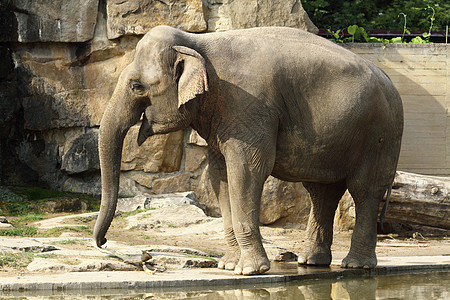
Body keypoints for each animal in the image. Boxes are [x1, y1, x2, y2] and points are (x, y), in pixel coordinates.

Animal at [93, 24, 402, 276]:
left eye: (136, 86)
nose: (104, 242)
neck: (198, 42)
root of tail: (390, 80)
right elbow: (220, 176)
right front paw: (228, 266)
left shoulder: (247, 105)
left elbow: (246, 171)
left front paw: (249, 270)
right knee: (322, 191)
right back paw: (312, 262)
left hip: (380, 133)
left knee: (364, 189)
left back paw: (356, 266)